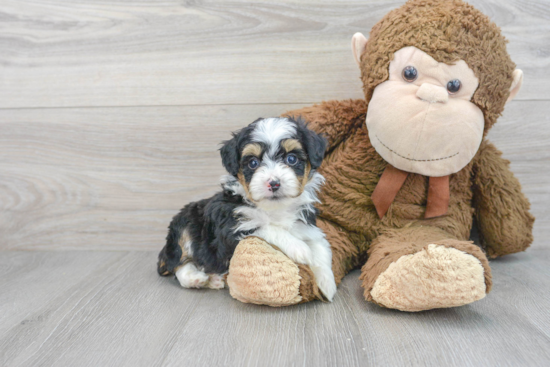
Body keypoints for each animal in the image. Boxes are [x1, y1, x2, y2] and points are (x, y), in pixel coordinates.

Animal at [157, 117, 338, 302]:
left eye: (292, 159)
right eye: (253, 163)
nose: (274, 183)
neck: (273, 208)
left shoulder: (305, 226)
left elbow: (321, 247)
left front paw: (327, 284)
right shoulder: (234, 226)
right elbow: (268, 228)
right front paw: (299, 248)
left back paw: (213, 279)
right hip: (183, 226)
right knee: (177, 262)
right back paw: (195, 278)